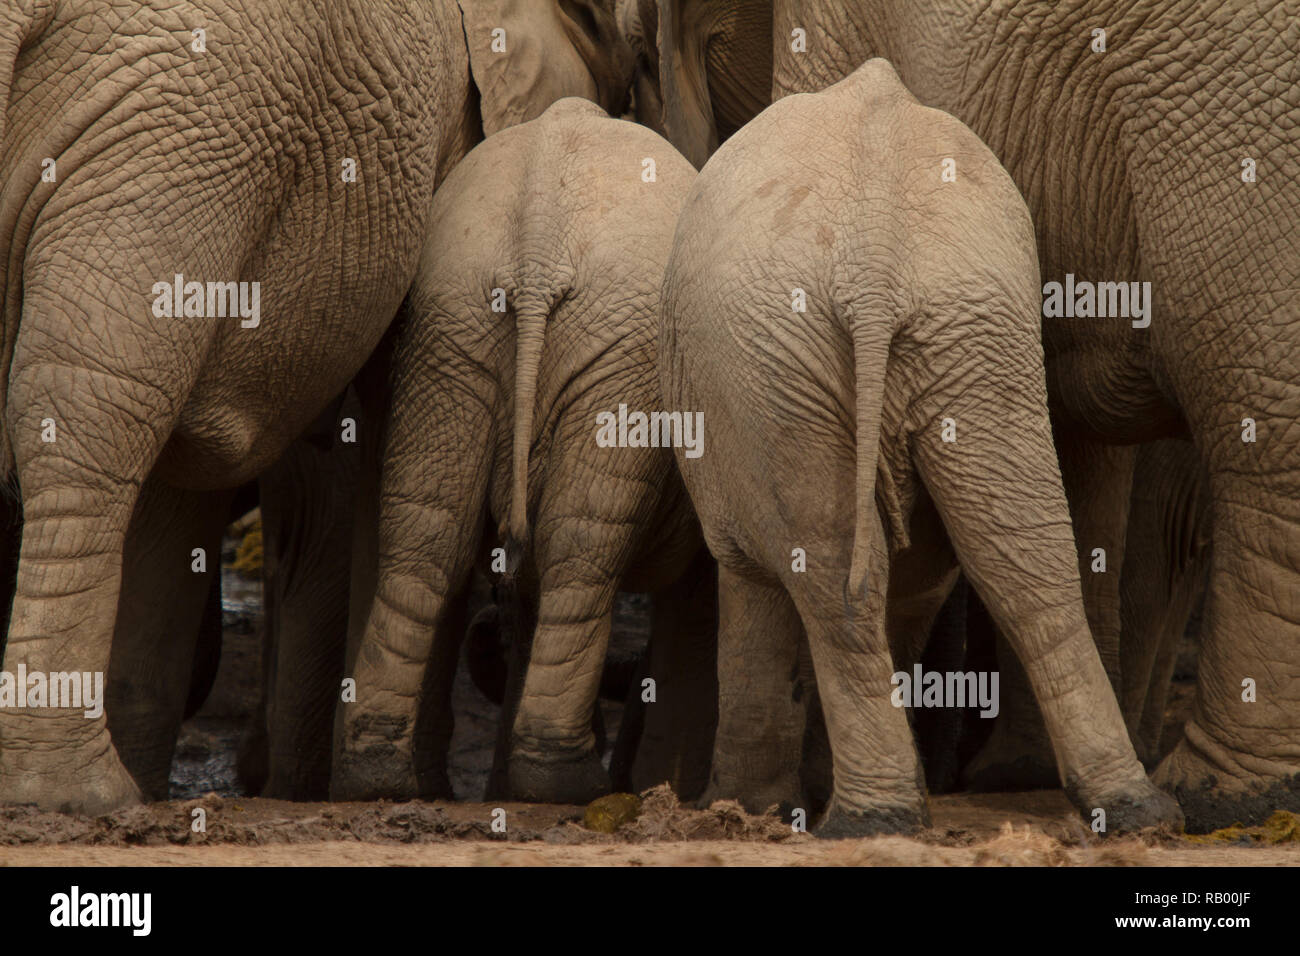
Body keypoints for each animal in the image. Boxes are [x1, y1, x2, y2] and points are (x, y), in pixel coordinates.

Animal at [0, 0, 634, 816]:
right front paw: (395, 784)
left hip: (165, 141)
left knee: (104, 405)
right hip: (180, 137)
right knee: (95, 410)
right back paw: (77, 795)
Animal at [330, 97, 707, 806]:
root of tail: (537, 246)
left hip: (448, 321)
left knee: (428, 532)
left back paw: (380, 776)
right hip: (616, 346)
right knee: (579, 546)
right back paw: (570, 784)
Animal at [665, 57, 1185, 837]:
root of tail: (875, 260)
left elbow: (755, 571)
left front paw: (746, 806)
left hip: (778, 351)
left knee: (827, 571)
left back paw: (872, 819)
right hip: (974, 326)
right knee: (1025, 556)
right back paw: (1134, 809)